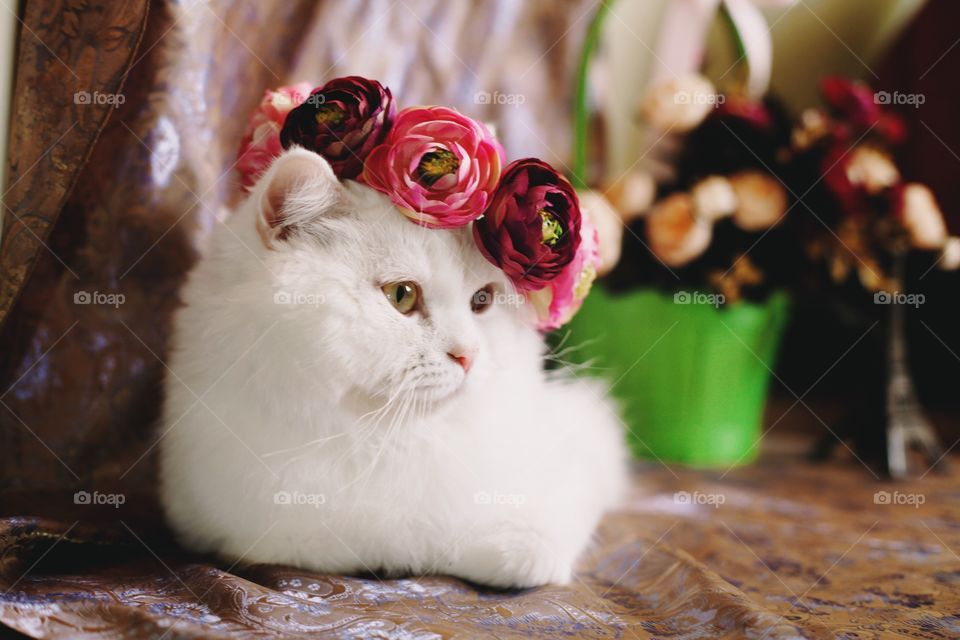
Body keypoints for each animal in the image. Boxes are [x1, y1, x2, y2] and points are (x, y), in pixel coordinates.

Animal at [159, 148, 632, 588]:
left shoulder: (580, 453)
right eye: (401, 295)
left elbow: (529, 549)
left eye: (482, 300)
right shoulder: (254, 531)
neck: (383, 439)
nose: (468, 355)